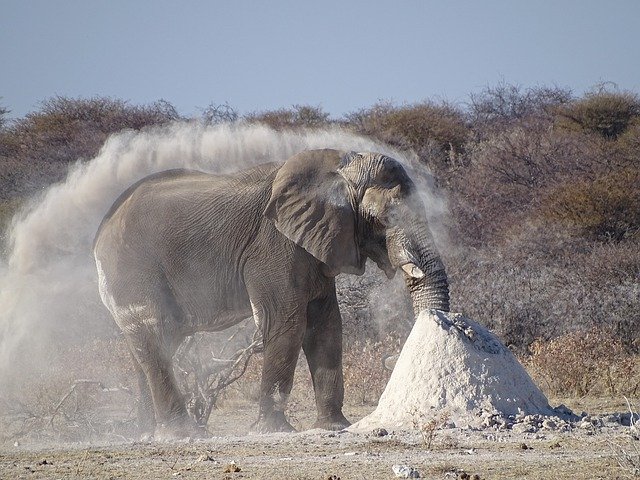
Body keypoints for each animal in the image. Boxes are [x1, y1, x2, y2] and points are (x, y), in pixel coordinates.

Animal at [94, 149, 450, 438]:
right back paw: (181, 434)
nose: (393, 358)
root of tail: (103, 228)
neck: (338, 168)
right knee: (152, 334)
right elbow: (286, 322)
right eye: (382, 218)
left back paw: (146, 434)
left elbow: (326, 326)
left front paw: (334, 427)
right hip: (132, 267)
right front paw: (272, 431)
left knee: (152, 346)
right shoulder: (274, 244)